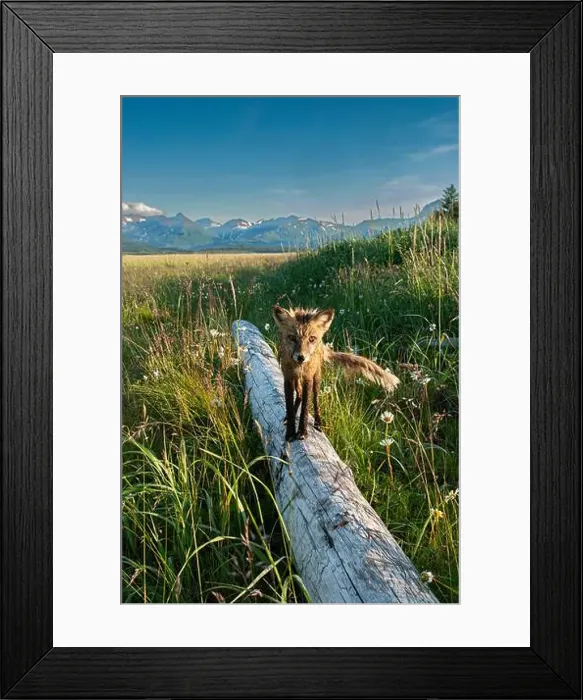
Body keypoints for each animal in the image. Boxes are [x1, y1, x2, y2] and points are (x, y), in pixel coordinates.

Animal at [272, 305, 400, 442]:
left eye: (311, 339)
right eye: (292, 338)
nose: (301, 357)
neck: (299, 367)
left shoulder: (308, 377)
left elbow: (305, 408)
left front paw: (302, 432)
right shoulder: (288, 377)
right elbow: (289, 407)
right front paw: (290, 432)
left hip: (317, 378)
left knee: (315, 400)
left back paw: (318, 422)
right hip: (297, 380)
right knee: (300, 395)